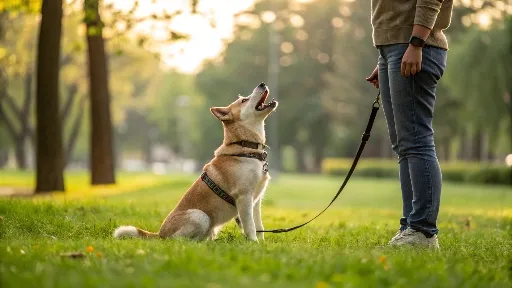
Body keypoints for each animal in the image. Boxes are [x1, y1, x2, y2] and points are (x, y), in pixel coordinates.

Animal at [114, 82, 278, 242]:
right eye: (244, 100)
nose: (262, 84)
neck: (246, 148)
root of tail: (160, 234)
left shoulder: (256, 200)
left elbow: (259, 225)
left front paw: (262, 243)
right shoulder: (244, 197)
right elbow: (250, 226)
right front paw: (254, 243)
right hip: (200, 216)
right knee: (178, 240)